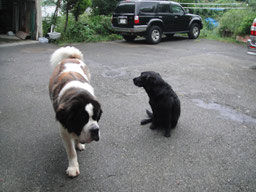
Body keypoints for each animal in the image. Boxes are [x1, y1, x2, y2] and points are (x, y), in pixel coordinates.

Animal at [48, 46, 102, 177]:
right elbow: (71, 151)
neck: (77, 92)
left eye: (96, 117)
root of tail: (71, 58)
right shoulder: (64, 129)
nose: (95, 130)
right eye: (82, 119)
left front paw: (79, 143)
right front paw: (73, 168)